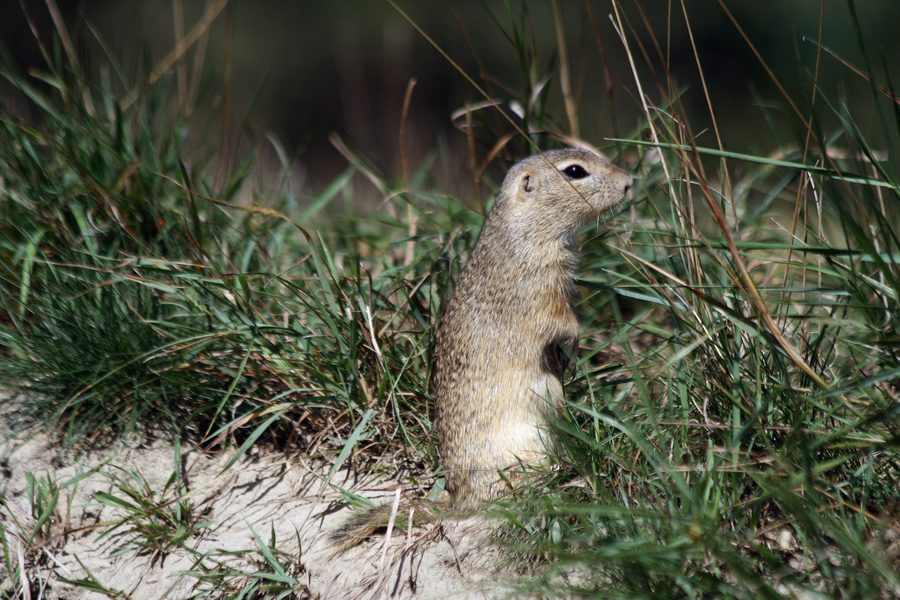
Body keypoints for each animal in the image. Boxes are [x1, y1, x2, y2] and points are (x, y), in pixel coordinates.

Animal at [331, 147, 632, 550]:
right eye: (574, 171)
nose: (629, 182)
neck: (523, 229)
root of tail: (460, 502)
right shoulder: (542, 293)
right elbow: (562, 323)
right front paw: (574, 346)